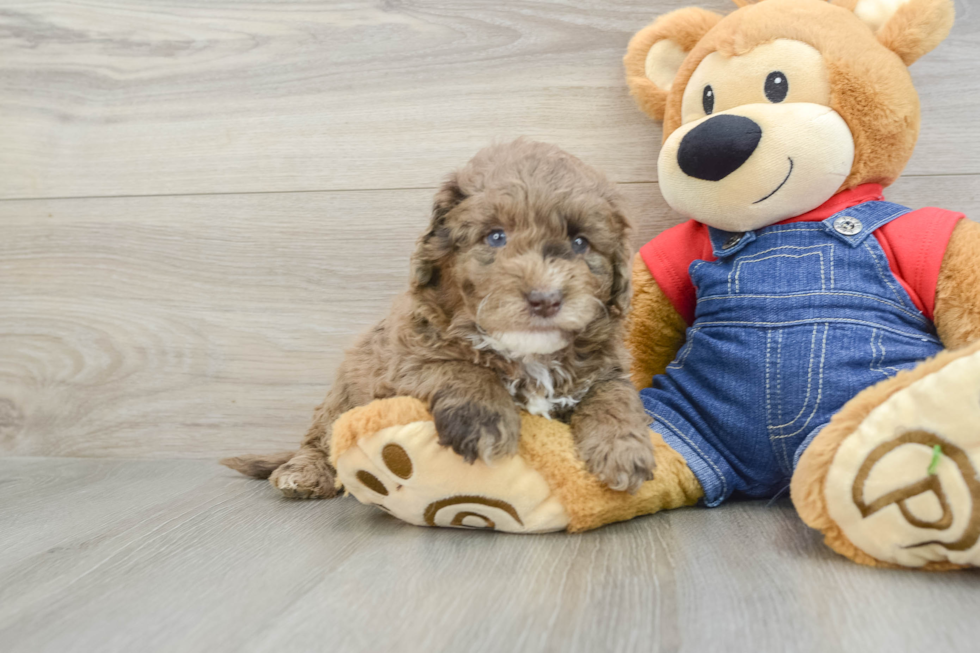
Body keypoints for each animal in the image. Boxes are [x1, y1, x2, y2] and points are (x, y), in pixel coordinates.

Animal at [225, 138, 656, 494]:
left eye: (580, 243)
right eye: (495, 237)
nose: (545, 299)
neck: (528, 354)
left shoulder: (606, 368)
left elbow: (614, 395)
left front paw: (623, 449)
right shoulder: (404, 361)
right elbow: (460, 367)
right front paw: (485, 421)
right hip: (341, 395)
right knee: (321, 436)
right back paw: (304, 472)